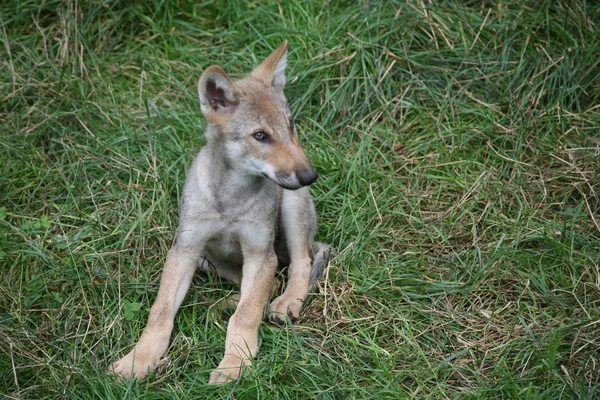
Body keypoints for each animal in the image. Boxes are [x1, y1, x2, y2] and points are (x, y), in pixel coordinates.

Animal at [110, 41, 330, 384]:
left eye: (290, 125)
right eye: (260, 136)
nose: (310, 175)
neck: (230, 201)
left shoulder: (260, 255)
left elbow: (246, 316)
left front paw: (233, 365)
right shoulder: (185, 250)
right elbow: (160, 313)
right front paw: (138, 361)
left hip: (291, 212)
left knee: (300, 264)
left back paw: (285, 303)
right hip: (205, 259)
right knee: (254, 285)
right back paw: (228, 303)